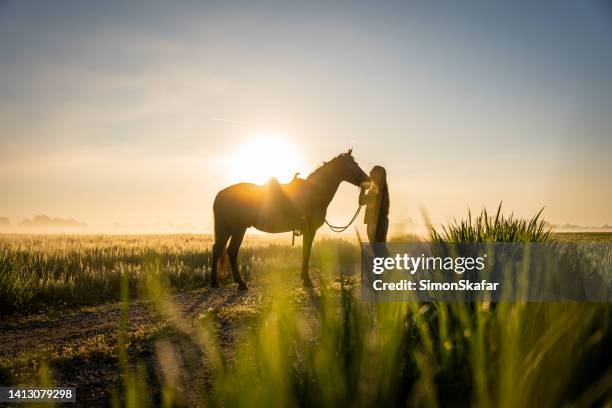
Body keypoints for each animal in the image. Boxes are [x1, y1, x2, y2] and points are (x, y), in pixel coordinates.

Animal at [212, 150, 368, 290]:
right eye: (353, 164)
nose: (369, 181)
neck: (314, 193)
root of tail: (221, 194)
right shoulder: (310, 230)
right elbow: (307, 252)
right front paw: (306, 280)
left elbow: (306, 251)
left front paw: (304, 277)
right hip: (238, 229)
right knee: (231, 251)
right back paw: (239, 283)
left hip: (227, 229)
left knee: (218, 249)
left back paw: (216, 282)